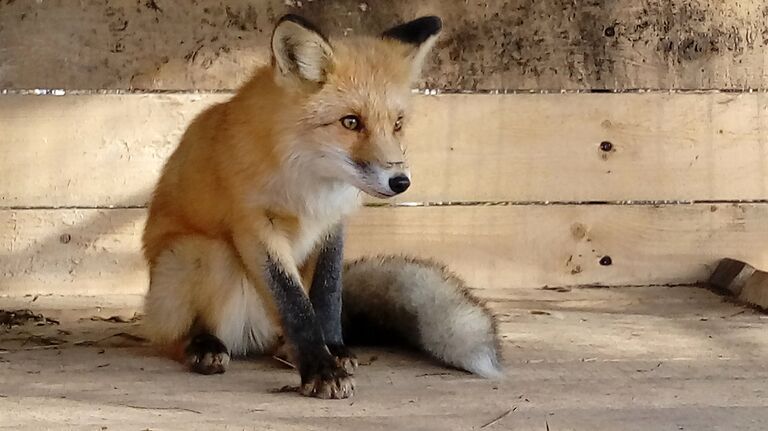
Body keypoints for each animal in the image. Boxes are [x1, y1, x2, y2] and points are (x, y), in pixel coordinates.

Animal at [142, 13, 504, 400]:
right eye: (351, 122)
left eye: (397, 124)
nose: (400, 182)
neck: (311, 186)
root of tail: (252, 334)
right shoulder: (255, 225)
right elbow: (295, 303)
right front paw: (321, 369)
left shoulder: (334, 222)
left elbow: (328, 294)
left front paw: (333, 348)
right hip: (200, 252)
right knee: (172, 334)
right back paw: (203, 345)